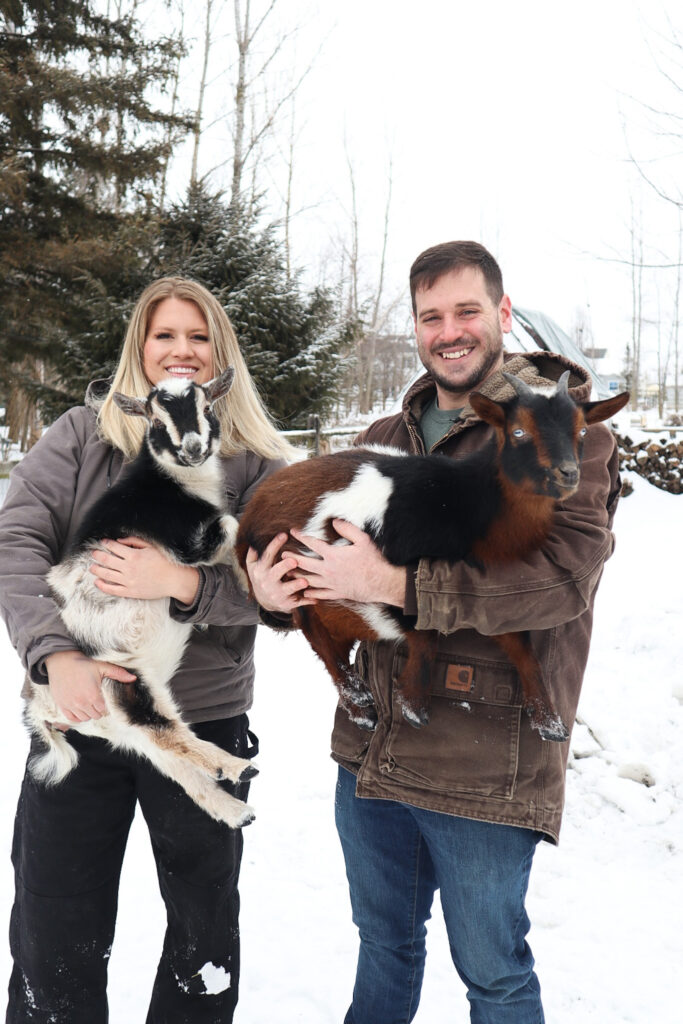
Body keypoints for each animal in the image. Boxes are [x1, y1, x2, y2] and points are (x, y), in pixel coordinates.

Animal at [26, 370, 255, 831]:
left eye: (207, 408)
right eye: (154, 420)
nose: (192, 448)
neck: (171, 485)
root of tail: (41, 710)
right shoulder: (187, 542)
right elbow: (230, 524)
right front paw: (246, 576)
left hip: (121, 722)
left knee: (174, 761)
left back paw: (236, 809)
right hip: (120, 681)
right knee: (163, 730)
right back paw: (237, 767)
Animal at [235, 372, 630, 741]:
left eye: (582, 431)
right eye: (518, 431)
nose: (568, 474)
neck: (462, 501)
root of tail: (248, 518)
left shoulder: (494, 598)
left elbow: (521, 646)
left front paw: (549, 721)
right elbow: (424, 635)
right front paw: (413, 705)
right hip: (292, 579)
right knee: (319, 639)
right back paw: (360, 702)